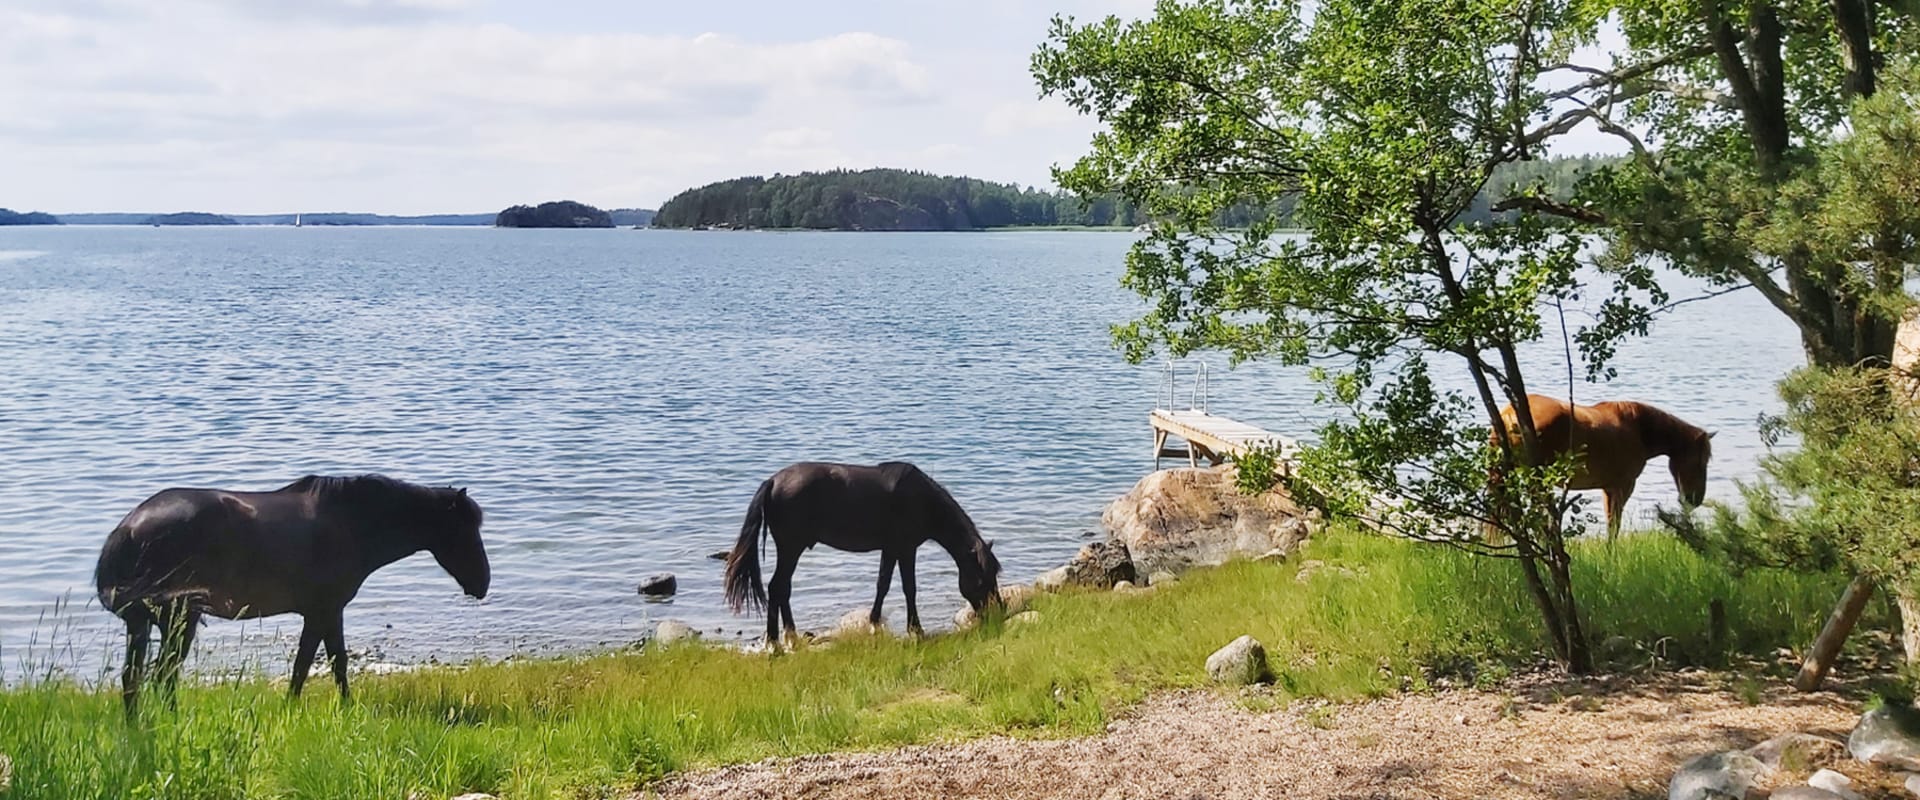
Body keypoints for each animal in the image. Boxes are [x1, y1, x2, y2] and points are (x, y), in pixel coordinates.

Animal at [94, 473, 491, 709]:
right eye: (463, 530)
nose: (483, 583)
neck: (350, 523)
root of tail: (129, 527)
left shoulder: (325, 613)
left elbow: (324, 663)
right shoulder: (324, 611)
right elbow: (318, 663)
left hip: (148, 624)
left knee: (137, 677)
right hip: (176, 620)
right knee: (161, 675)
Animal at [721, 460, 1006, 640]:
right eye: (983, 579)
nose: (999, 613)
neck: (922, 500)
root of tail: (773, 481)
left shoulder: (891, 549)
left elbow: (883, 584)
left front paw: (874, 623)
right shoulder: (906, 549)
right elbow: (909, 588)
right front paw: (916, 629)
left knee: (782, 589)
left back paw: (789, 636)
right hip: (791, 548)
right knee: (778, 587)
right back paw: (776, 642)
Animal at [1489, 393, 1720, 537]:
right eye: (1700, 462)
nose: (1695, 500)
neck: (1639, 428)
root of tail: (1508, 414)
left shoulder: (1608, 488)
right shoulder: (1623, 486)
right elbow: (1613, 525)